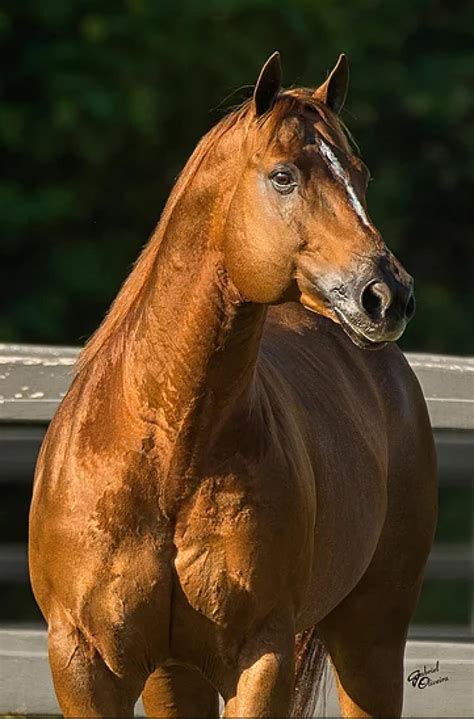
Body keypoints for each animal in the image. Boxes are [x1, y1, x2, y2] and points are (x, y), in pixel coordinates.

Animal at [29, 52, 437, 718]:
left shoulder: (262, 657)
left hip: (371, 641)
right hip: (176, 676)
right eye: (282, 177)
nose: (387, 296)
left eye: (360, 175)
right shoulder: (85, 663)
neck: (166, 451)